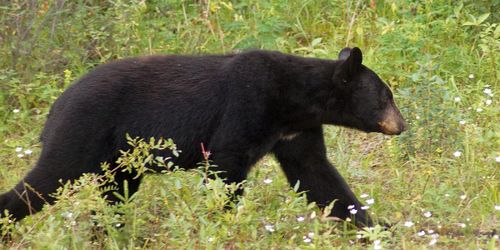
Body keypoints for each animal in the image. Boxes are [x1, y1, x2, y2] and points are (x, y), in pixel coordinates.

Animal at [0, 47, 406, 229]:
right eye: (387, 97)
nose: (401, 125)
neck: (294, 98)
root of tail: (56, 105)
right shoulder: (248, 104)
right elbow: (226, 163)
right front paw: (222, 222)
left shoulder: (297, 131)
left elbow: (317, 174)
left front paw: (374, 227)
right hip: (83, 130)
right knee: (47, 179)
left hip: (120, 158)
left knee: (116, 192)